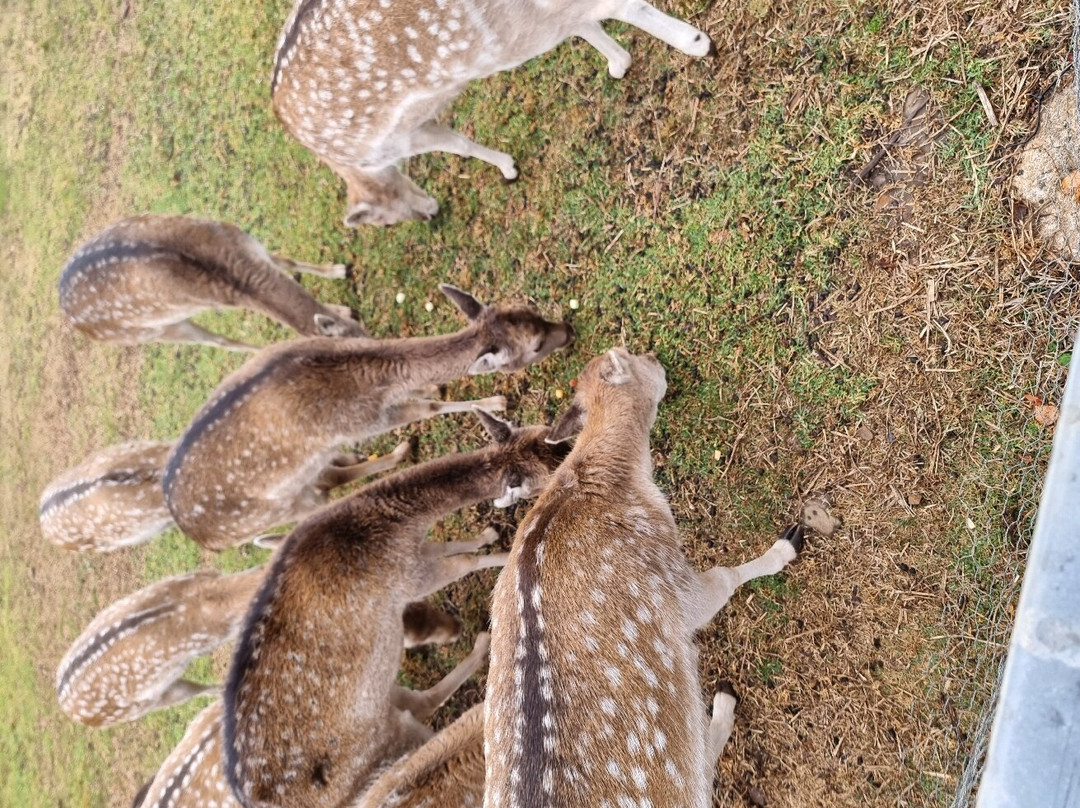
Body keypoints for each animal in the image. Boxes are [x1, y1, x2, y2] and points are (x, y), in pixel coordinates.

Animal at [59, 214, 363, 351]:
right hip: (156, 332)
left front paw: (340, 272)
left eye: (360, 330)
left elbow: (287, 262)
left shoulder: (247, 242)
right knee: (220, 342)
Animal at [164, 283, 572, 550]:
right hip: (282, 506)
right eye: (536, 345)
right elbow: (426, 409)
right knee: (328, 488)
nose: (568, 331)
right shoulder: (369, 418)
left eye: (531, 310)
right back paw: (397, 453)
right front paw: (494, 402)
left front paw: (460, 394)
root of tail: (195, 533)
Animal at [223, 410, 575, 808]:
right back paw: (481, 646)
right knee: (424, 708)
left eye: (548, 437)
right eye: (547, 471)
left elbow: (450, 546)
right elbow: (464, 561)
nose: (569, 454)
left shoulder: (414, 555)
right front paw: (502, 555)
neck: (389, 526)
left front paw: (487, 534)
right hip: (374, 740)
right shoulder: (414, 576)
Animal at [270, 0, 713, 227]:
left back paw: (694, 42)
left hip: (495, 41)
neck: (354, 166)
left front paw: (509, 168)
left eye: (384, 223)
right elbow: (578, 24)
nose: (430, 214)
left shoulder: (402, 139)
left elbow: (459, 143)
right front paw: (619, 63)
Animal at [484, 348, 806, 808]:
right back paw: (724, 703)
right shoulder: (668, 571)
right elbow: (722, 579)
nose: (655, 355)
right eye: (628, 354)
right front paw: (786, 546)